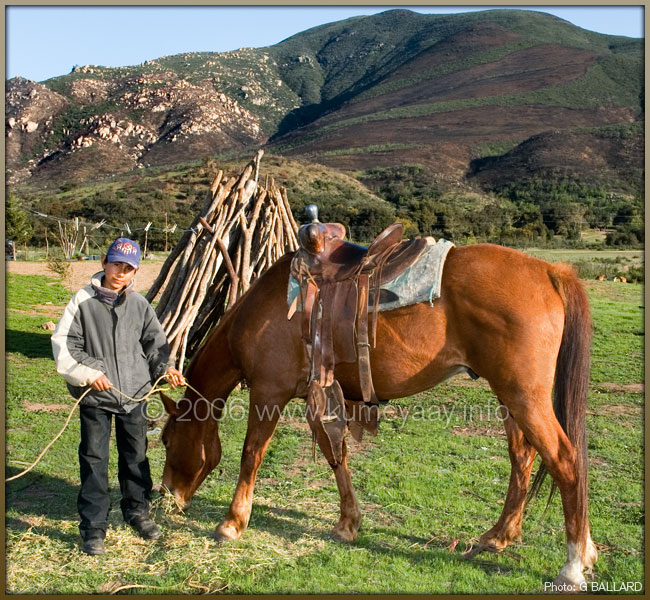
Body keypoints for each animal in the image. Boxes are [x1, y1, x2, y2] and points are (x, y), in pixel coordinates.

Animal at [159, 244, 596, 592]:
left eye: (165, 440)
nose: (167, 496)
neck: (269, 310)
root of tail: (549, 271)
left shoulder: (269, 393)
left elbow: (252, 453)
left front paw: (232, 523)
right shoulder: (318, 398)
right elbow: (336, 456)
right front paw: (348, 523)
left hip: (525, 398)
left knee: (565, 461)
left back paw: (573, 564)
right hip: (510, 399)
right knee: (522, 458)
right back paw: (500, 536)